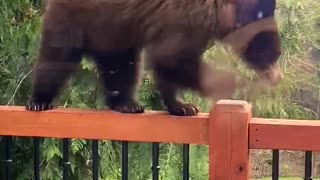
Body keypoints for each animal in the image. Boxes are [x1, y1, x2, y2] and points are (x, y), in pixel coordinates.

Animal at [25, 0, 282, 116]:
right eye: (269, 51)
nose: (277, 77)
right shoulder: (184, 20)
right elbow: (171, 58)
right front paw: (228, 83)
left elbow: (170, 63)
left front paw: (181, 106)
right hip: (72, 19)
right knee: (56, 59)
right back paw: (39, 101)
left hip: (114, 34)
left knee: (123, 67)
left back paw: (126, 103)